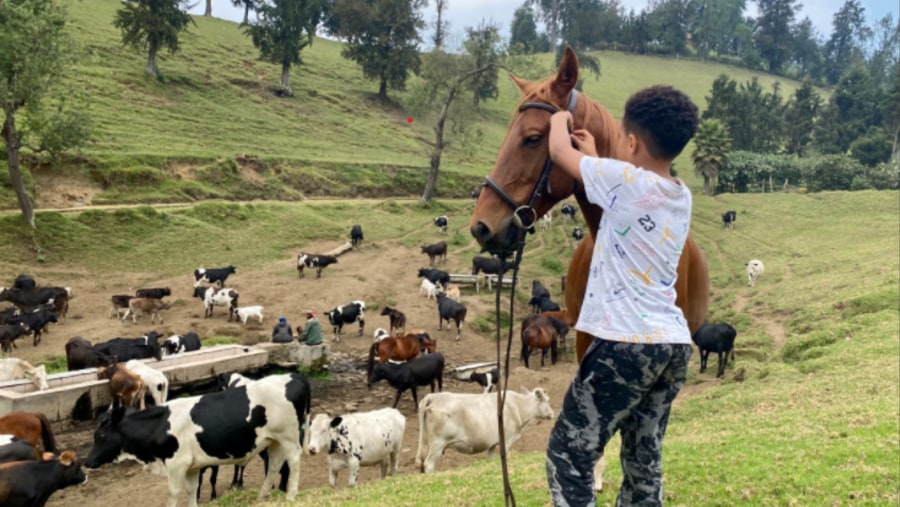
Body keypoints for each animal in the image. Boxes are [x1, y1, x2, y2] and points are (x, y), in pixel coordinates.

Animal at [85, 374, 310, 507]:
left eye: (100, 436)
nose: (87, 461)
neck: (160, 424)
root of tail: (293, 376)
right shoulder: (192, 466)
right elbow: (193, 490)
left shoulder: (176, 464)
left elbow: (174, 492)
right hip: (274, 440)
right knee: (275, 464)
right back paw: (262, 496)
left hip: (289, 437)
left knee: (294, 461)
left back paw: (291, 496)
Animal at [416, 390, 556, 474]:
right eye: (548, 400)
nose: (552, 414)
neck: (518, 406)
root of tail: (432, 396)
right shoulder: (507, 439)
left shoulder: (492, 444)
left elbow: (491, 459)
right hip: (437, 444)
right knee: (429, 464)